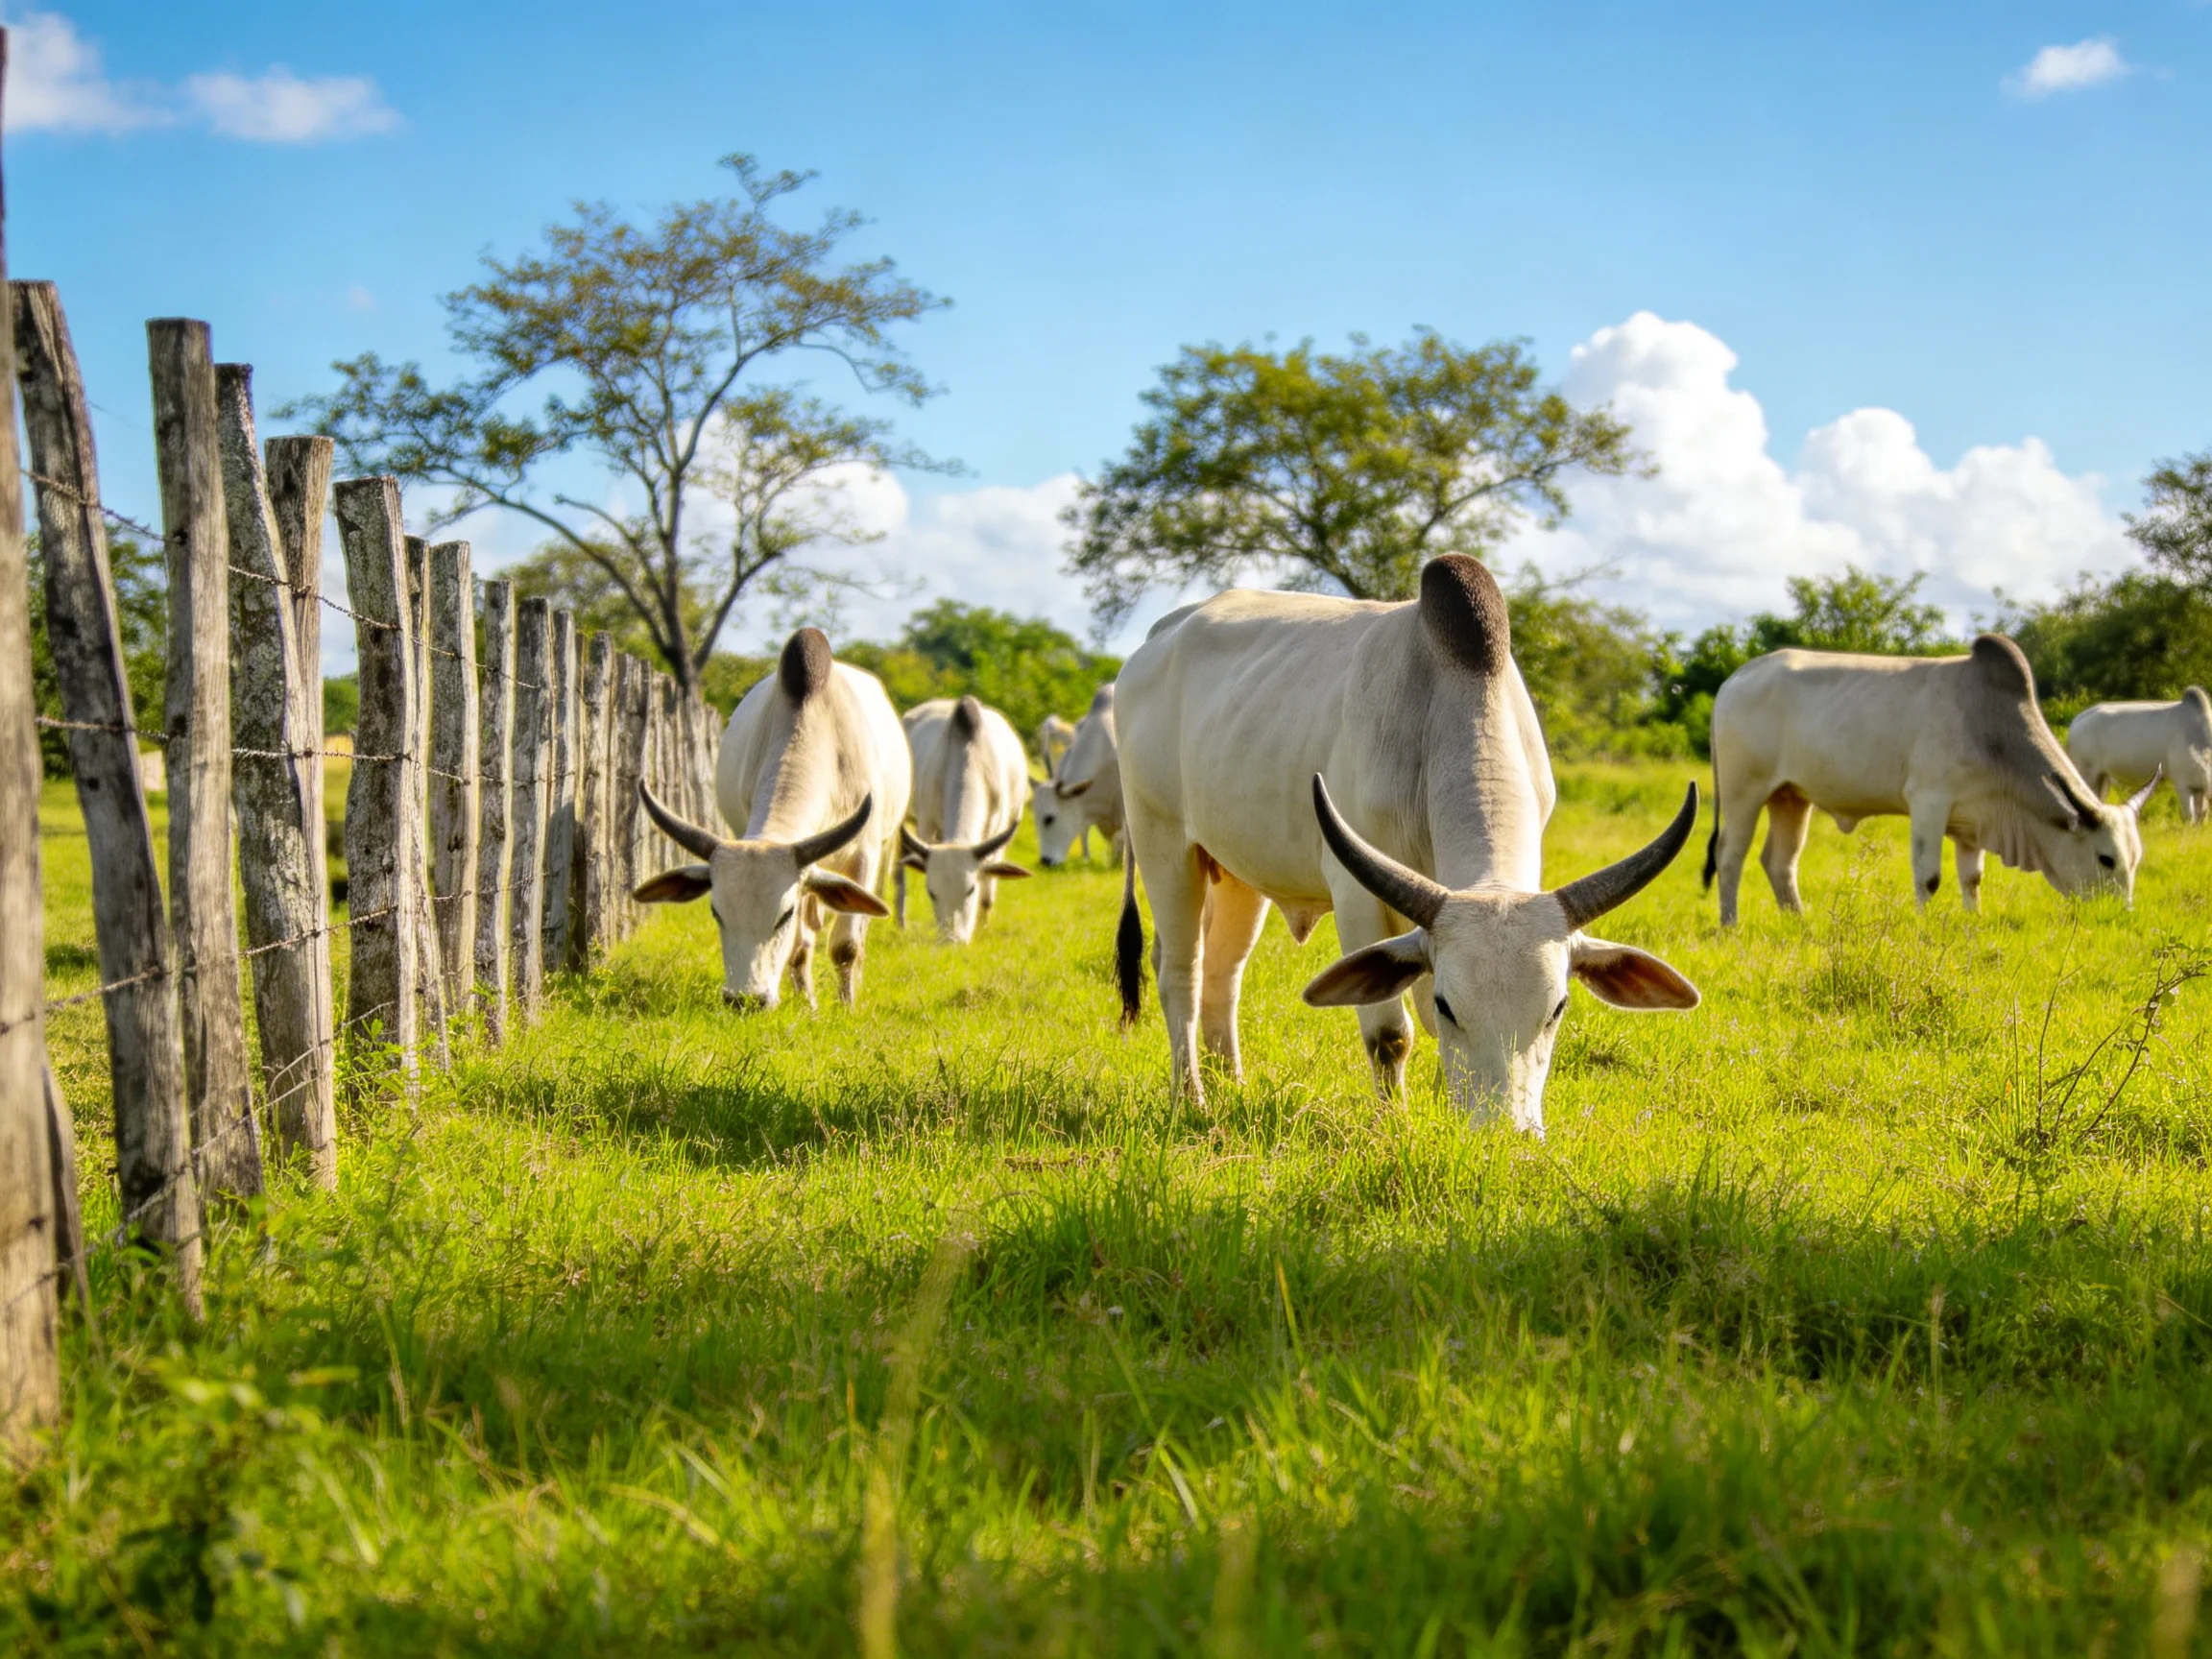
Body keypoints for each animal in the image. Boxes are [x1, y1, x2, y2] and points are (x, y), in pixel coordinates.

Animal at [633, 627, 911, 1009]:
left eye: (784, 914)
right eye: (716, 912)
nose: (746, 1000)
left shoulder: (864, 855)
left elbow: (846, 945)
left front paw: (847, 1006)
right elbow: (799, 948)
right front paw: (809, 1006)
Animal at [899, 694, 1033, 943]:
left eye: (970, 889)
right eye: (932, 892)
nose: (952, 941)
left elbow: (988, 890)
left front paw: (983, 928)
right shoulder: (926, 826)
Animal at [1112, 555, 1700, 1135]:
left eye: (1557, 1007)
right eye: (1449, 1005)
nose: (1506, 1133)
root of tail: (1159, 635)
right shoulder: (1356, 897)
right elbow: (1390, 1035)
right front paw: (1395, 1128)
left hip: (1237, 871)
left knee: (1223, 972)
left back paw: (1230, 1086)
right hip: (1161, 841)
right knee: (1180, 972)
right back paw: (1192, 1098)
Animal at [1703, 636, 2152, 925]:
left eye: (2135, 860)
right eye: (2106, 858)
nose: (2122, 914)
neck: (1991, 725)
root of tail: (1734, 680)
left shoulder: (1974, 819)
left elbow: (1972, 877)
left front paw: (1974, 920)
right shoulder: (1929, 802)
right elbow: (1929, 877)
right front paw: (1924, 925)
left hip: (1792, 798)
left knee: (1780, 861)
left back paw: (1799, 923)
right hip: (1743, 792)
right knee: (1730, 855)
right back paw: (1731, 924)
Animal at [2068, 689, 2210, 825]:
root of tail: (2076, 721)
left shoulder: (2200, 790)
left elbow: (2202, 815)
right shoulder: (2183, 785)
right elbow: (2189, 818)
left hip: (2102, 777)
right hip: (2085, 773)